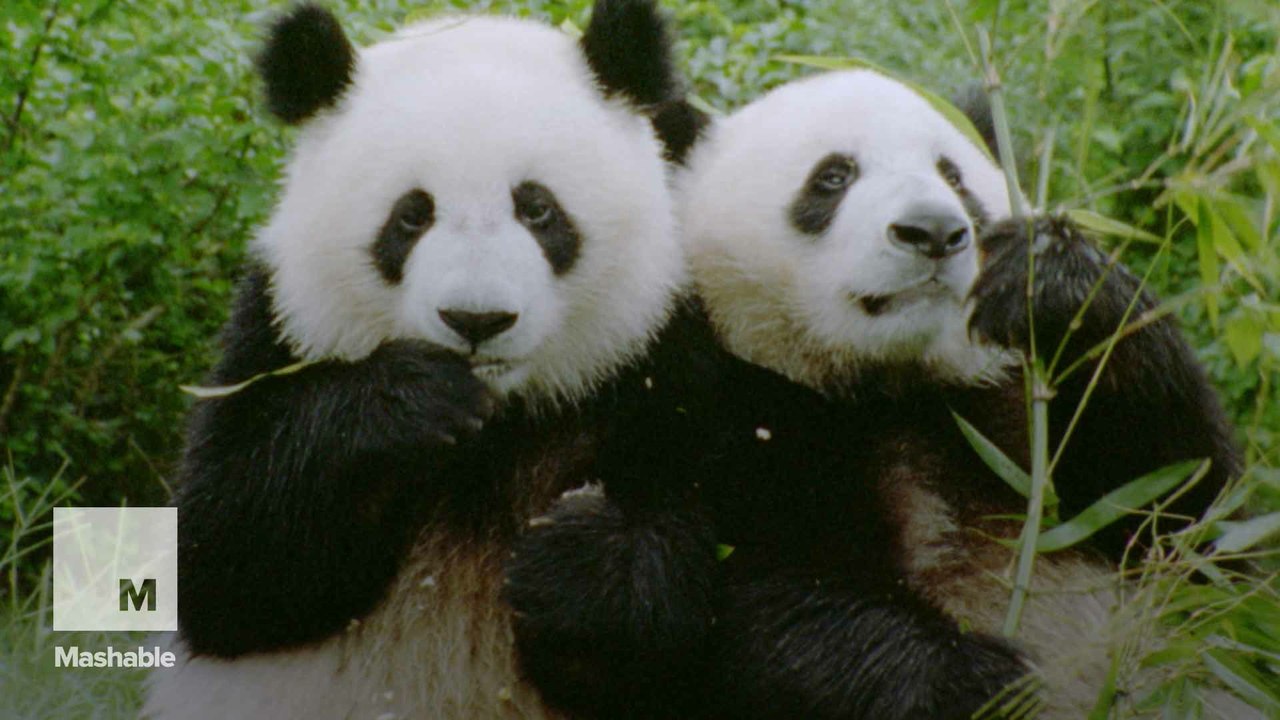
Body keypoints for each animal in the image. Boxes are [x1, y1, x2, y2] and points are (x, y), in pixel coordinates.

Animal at [143, 2, 709, 718]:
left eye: (538, 208)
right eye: (411, 217)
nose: (477, 320)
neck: (503, 420)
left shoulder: (666, 353)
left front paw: (579, 563)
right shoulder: (275, 328)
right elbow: (223, 564)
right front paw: (411, 402)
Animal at [504, 70, 1248, 719]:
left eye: (955, 177)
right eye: (833, 177)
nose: (934, 231)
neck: (893, 383)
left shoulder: (1010, 405)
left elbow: (1189, 510)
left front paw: (1053, 282)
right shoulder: (724, 403)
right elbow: (765, 615)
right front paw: (983, 686)